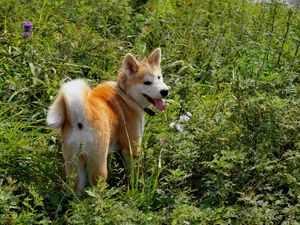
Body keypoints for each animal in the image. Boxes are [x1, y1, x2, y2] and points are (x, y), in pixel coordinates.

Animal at [46, 48, 169, 191]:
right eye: (147, 82)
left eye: (159, 77)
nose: (165, 91)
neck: (126, 96)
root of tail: (80, 117)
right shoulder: (131, 149)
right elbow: (132, 172)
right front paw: (134, 186)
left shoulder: (109, 150)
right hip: (97, 165)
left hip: (74, 165)